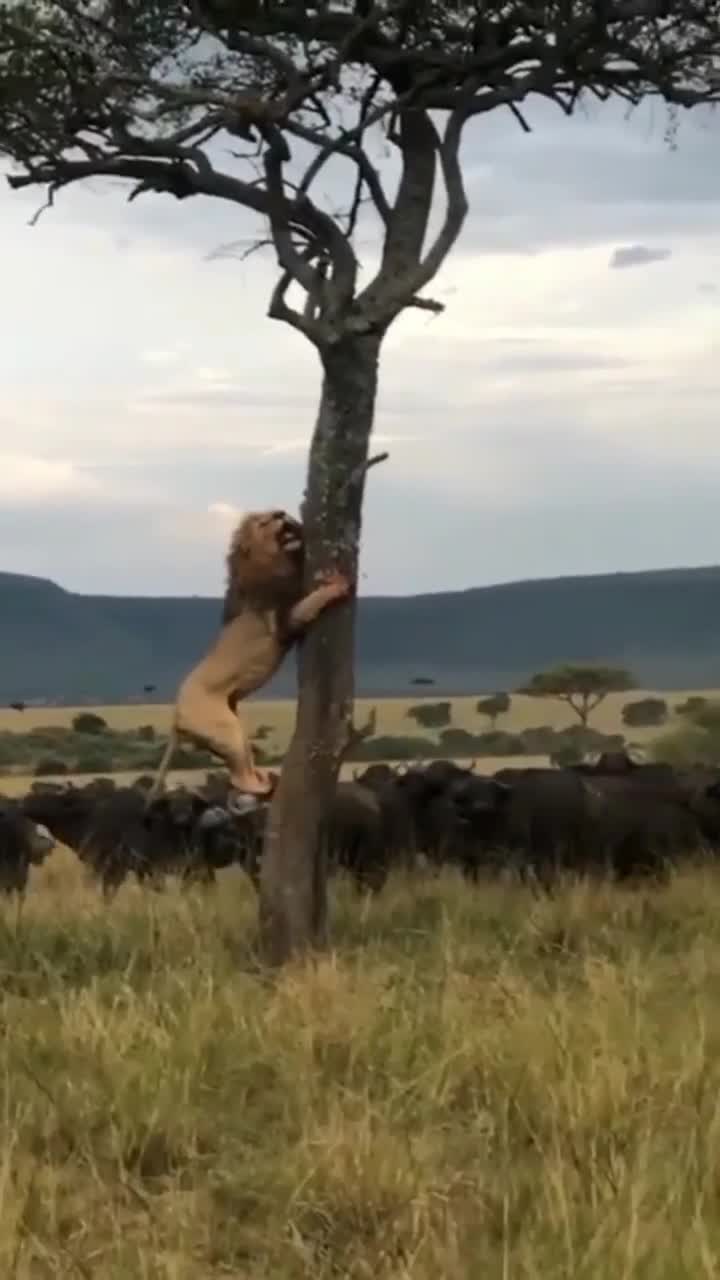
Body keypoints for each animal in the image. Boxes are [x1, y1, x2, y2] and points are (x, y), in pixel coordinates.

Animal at [146, 509, 351, 808]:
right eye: (265, 522)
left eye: (276, 512)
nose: (282, 514)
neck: (275, 561)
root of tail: (175, 717)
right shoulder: (285, 618)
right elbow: (310, 601)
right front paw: (336, 585)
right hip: (224, 728)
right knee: (237, 777)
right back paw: (261, 788)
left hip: (233, 729)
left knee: (240, 768)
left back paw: (264, 780)